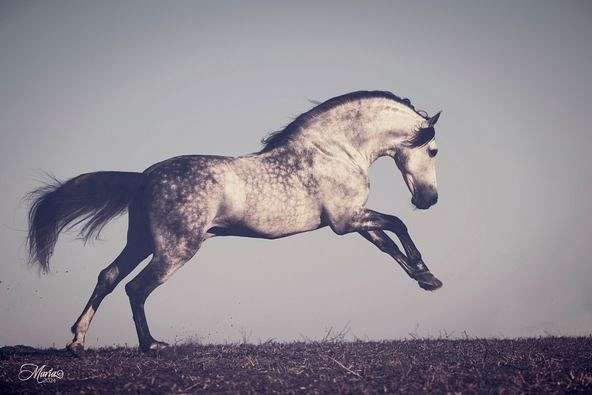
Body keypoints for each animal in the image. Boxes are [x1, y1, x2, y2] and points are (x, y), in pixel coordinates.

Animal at [26, 90, 444, 352]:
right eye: (434, 150)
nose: (429, 199)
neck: (334, 150)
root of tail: (144, 177)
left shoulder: (354, 222)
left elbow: (388, 244)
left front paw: (426, 279)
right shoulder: (346, 220)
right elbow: (397, 224)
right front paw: (426, 271)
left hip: (141, 242)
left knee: (109, 277)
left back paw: (77, 341)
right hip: (176, 250)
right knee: (136, 288)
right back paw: (151, 344)